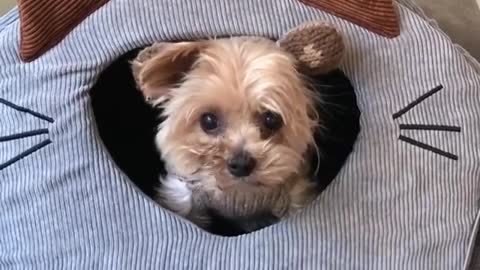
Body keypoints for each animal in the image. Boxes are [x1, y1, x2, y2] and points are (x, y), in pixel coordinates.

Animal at [131, 37, 322, 232]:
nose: (241, 164)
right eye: (208, 121)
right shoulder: (184, 196)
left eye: (271, 119)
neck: (237, 193)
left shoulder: (293, 196)